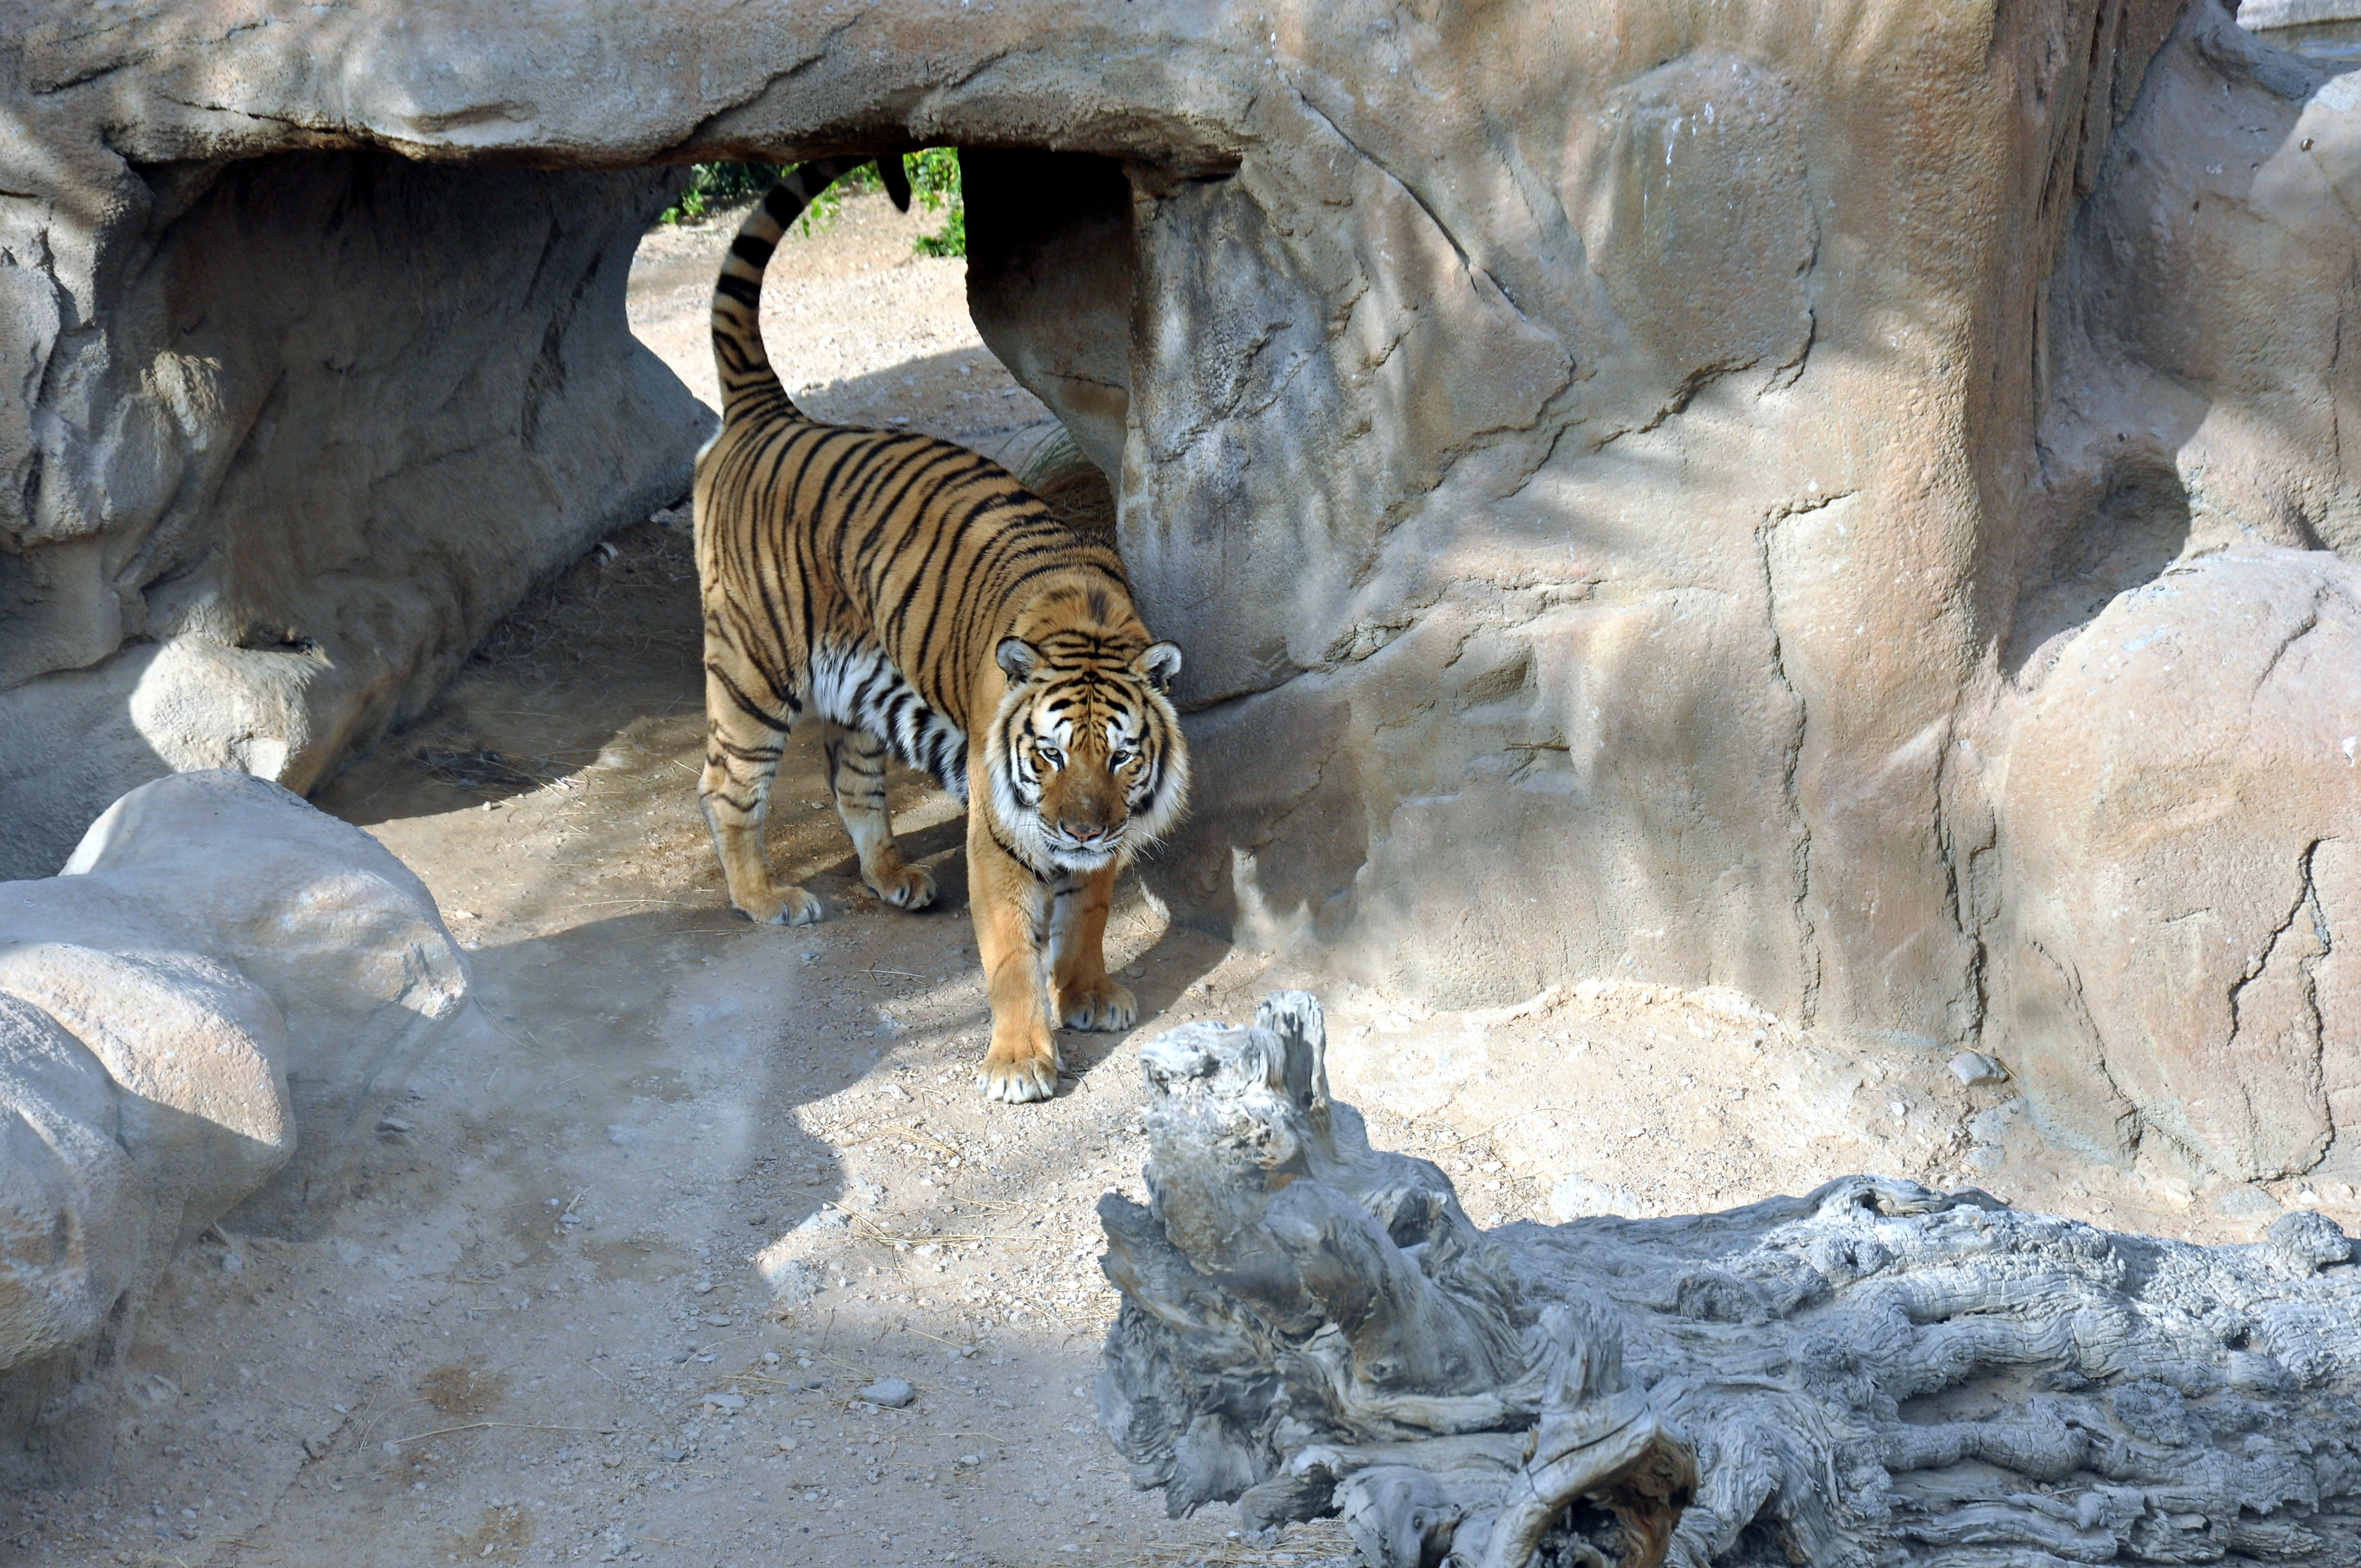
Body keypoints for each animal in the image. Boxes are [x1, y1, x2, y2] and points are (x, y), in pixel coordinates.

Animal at [689, 156, 1190, 1100]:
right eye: (1048, 753)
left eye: (1121, 756)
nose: (1081, 830)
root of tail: (771, 414)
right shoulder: (999, 832)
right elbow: (1011, 950)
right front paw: (1021, 1059)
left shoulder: (1104, 836)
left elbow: (1090, 914)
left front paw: (1089, 993)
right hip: (752, 669)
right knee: (726, 786)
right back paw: (766, 900)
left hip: (857, 681)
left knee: (852, 781)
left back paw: (894, 878)